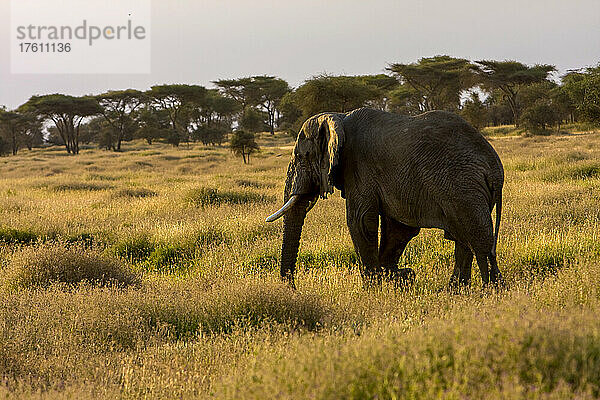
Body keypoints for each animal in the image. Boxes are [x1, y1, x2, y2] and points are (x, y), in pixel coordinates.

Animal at [264, 108, 504, 290]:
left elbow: (360, 221)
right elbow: (399, 229)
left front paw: (374, 288)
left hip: (463, 188)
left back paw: (490, 292)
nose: (292, 290)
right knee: (464, 241)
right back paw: (456, 291)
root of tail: (495, 170)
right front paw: (396, 277)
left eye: (301, 156)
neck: (339, 117)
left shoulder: (359, 165)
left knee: (479, 241)